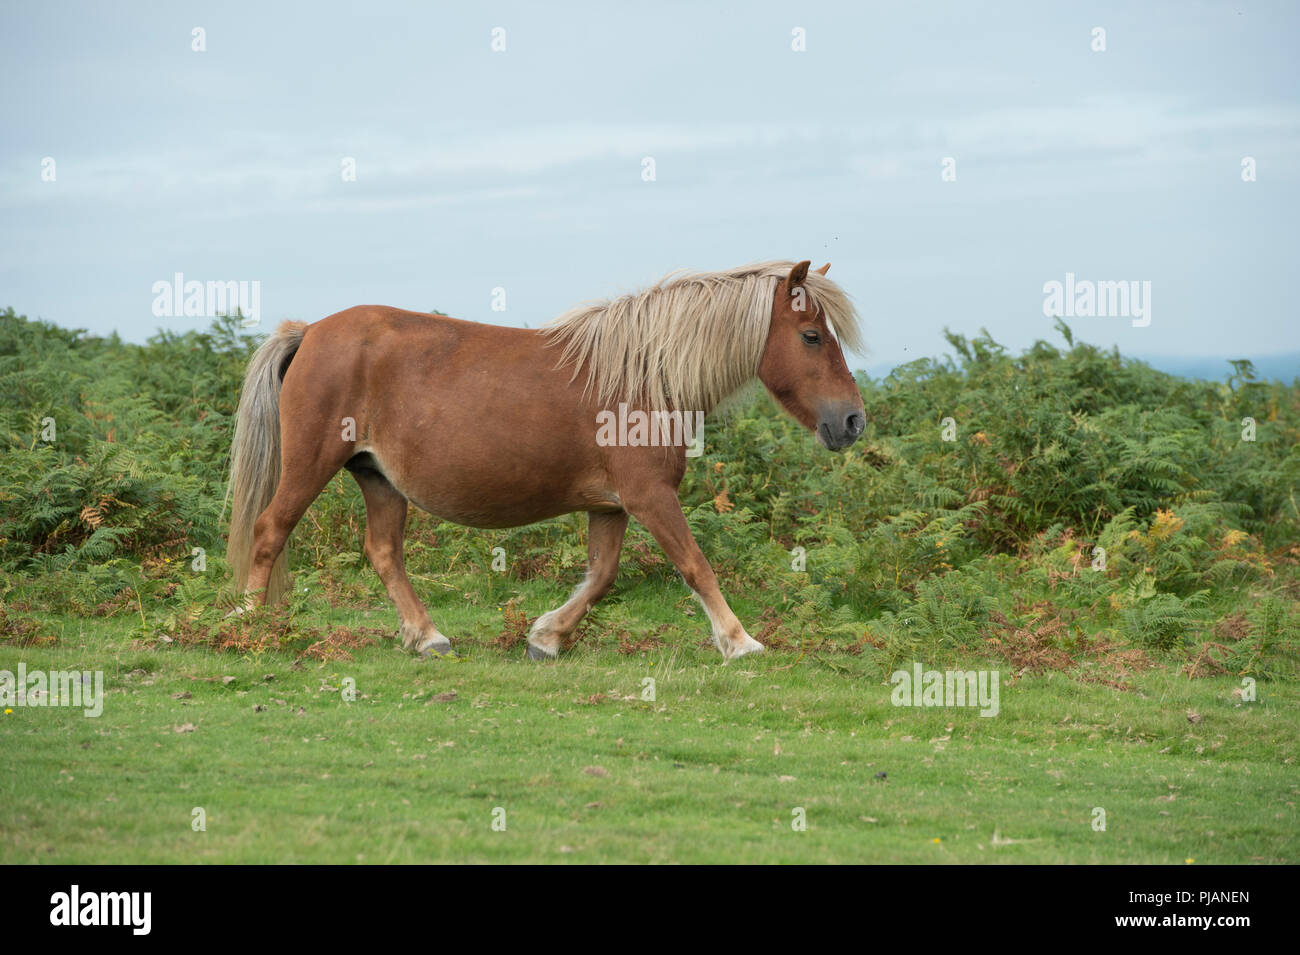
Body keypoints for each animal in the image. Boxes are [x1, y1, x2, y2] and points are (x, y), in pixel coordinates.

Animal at [226, 261, 863, 665]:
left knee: (383, 553)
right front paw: (739, 642)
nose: (853, 421)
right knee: (269, 531)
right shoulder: (650, 497)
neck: (644, 375)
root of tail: (310, 332)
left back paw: (427, 638)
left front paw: (546, 638)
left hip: (378, 478)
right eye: (811, 336)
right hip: (312, 465)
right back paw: (249, 627)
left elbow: (601, 577)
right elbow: (695, 565)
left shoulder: (612, 507)